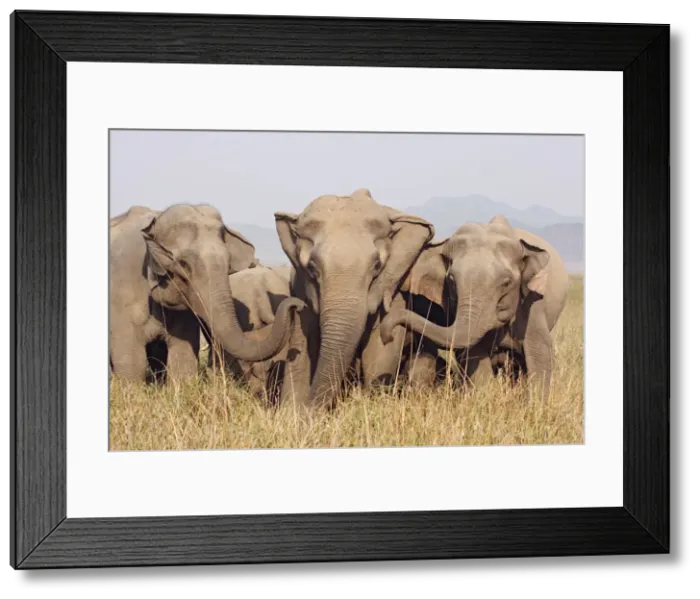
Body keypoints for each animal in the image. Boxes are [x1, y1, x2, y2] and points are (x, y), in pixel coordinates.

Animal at [109, 204, 304, 383]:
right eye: (184, 265)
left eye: (228, 263)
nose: (299, 304)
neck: (156, 219)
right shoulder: (122, 289)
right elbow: (131, 363)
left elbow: (183, 358)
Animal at [273, 188, 435, 411]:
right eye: (312, 268)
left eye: (377, 266)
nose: (311, 410)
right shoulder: (300, 283)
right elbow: (302, 349)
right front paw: (293, 414)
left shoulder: (393, 287)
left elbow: (379, 353)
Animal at [380, 215, 569, 400]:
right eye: (451, 280)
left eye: (506, 283)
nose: (387, 335)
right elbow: (474, 354)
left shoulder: (532, 305)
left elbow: (539, 354)